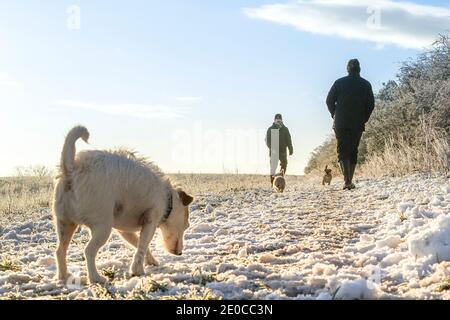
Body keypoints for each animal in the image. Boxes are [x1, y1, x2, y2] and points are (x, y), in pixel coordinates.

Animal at [52, 126, 193, 284]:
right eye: (186, 226)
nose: (180, 253)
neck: (168, 199)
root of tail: (71, 170)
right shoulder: (150, 222)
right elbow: (142, 246)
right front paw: (138, 271)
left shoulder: (124, 231)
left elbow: (139, 245)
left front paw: (151, 261)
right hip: (102, 228)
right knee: (88, 251)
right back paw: (95, 278)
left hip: (64, 224)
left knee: (60, 251)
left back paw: (63, 276)